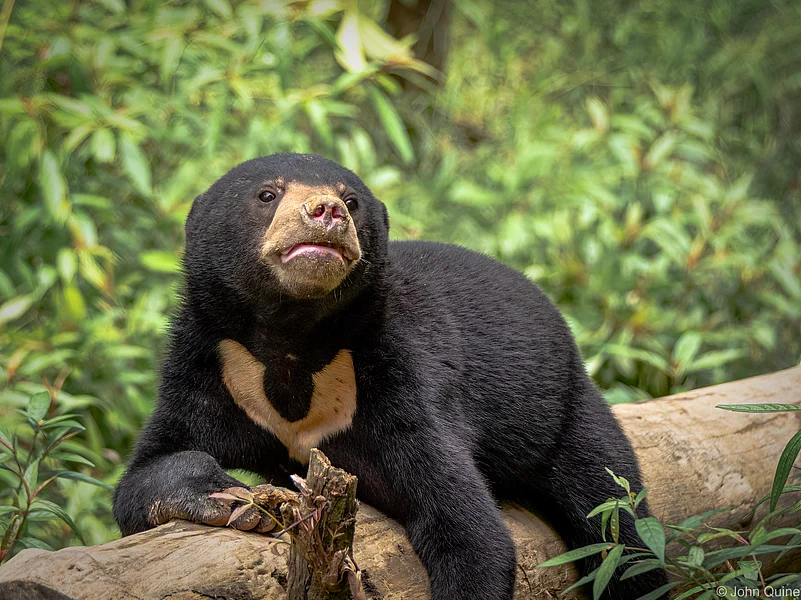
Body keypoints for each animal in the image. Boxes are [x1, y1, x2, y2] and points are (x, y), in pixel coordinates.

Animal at [113, 153, 668, 600]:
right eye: (268, 194)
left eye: (351, 199)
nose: (327, 212)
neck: (292, 341)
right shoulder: (213, 368)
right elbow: (148, 470)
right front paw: (235, 500)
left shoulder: (395, 379)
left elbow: (467, 528)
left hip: (566, 415)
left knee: (618, 527)